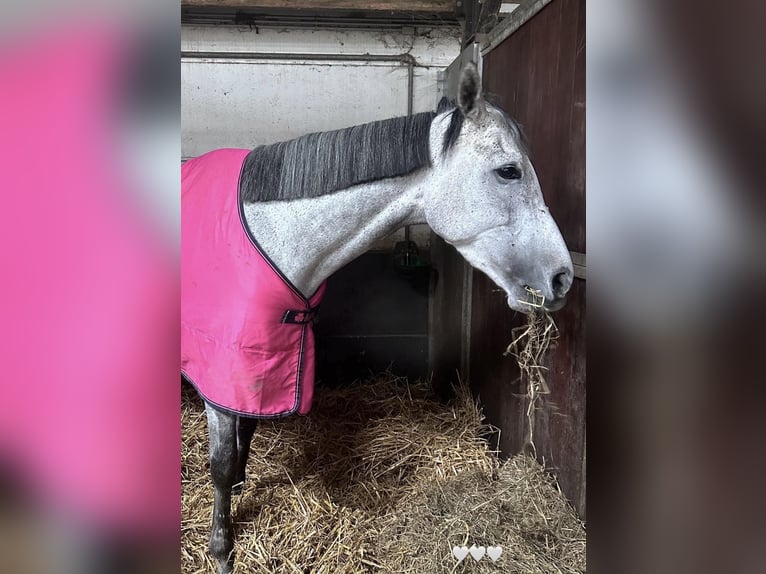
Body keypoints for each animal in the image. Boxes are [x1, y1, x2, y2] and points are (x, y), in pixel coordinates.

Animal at [183, 64, 572, 574]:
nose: (563, 278)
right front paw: (221, 548)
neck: (268, 236)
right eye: (509, 170)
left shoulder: (259, 362)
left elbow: (246, 431)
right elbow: (222, 462)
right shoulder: (222, 370)